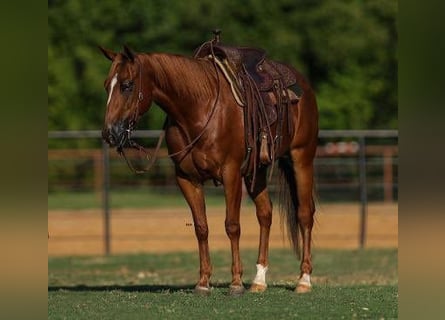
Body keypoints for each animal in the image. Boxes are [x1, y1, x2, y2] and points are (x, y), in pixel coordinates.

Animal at [99, 44, 318, 296]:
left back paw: (304, 280)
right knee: (265, 213)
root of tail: (302, 84)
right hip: (257, 172)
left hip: (301, 158)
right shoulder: (187, 178)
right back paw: (259, 280)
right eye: (107, 85)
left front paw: (235, 283)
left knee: (305, 214)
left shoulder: (231, 174)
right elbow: (201, 228)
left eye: (127, 85)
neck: (197, 110)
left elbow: (232, 226)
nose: (110, 133)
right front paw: (203, 282)